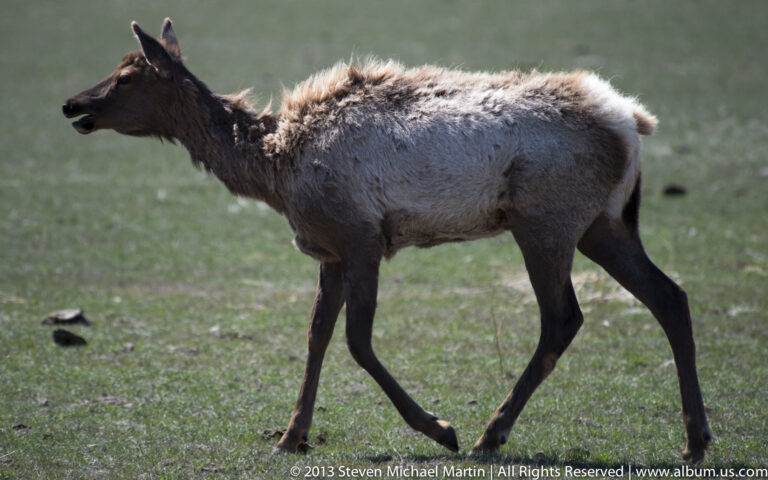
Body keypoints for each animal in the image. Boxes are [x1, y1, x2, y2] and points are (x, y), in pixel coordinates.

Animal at [62, 18, 712, 461]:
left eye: (126, 75)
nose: (72, 103)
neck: (275, 171)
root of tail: (632, 124)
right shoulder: (328, 248)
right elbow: (317, 334)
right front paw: (291, 435)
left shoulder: (362, 235)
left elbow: (356, 340)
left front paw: (439, 427)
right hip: (606, 223)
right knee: (670, 296)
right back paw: (696, 439)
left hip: (545, 222)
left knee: (564, 317)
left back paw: (489, 434)